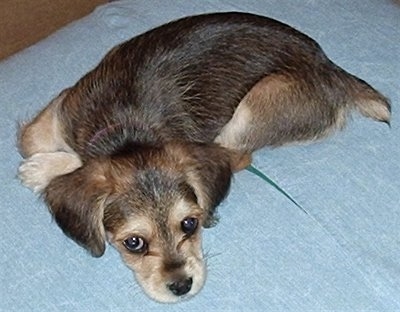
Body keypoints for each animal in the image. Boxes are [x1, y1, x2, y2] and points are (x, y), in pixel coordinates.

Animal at [17, 12, 390, 302]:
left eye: (189, 224)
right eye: (134, 243)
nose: (182, 286)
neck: (125, 132)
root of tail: (330, 68)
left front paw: (43, 169)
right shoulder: (63, 106)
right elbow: (29, 139)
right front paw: (48, 163)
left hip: (255, 105)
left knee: (236, 156)